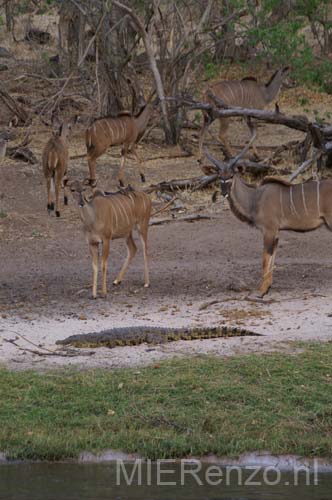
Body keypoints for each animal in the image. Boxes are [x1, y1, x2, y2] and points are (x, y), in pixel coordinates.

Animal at [204, 123, 328, 298]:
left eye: (232, 175)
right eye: (219, 176)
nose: (224, 192)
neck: (255, 198)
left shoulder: (269, 230)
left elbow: (264, 258)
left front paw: (261, 291)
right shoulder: (276, 233)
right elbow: (272, 258)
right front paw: (267, 287)